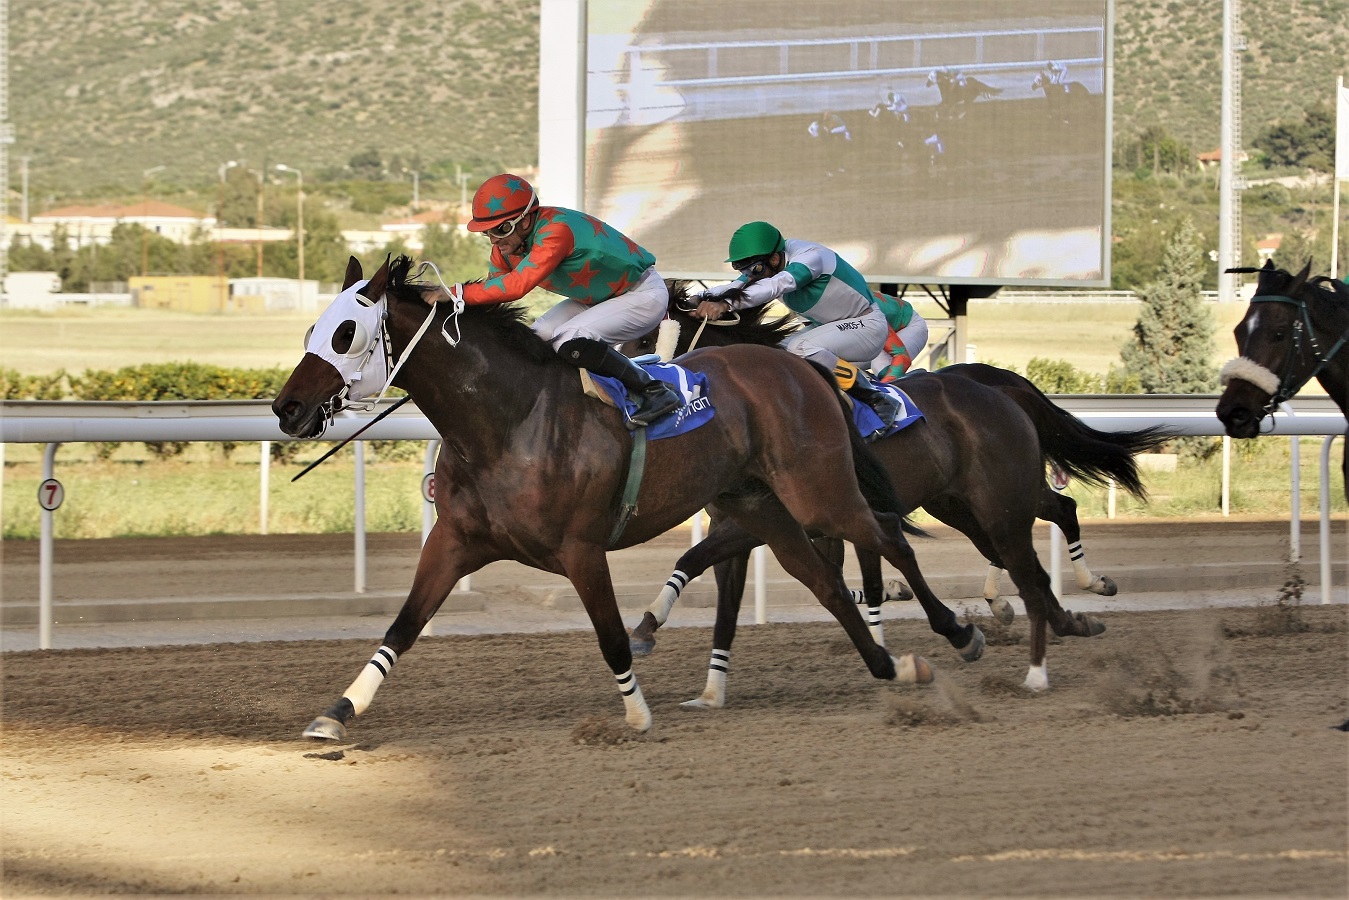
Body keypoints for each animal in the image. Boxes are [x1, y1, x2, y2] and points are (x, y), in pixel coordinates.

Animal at [268, 255, 982, 739]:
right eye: (312, 328)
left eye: (346, 334)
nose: (287, 408)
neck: (508, 421)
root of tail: (800, 365)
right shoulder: (457, 540)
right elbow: (402, 626)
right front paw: (337, 711)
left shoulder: (582, 549)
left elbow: (612, 637)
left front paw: (636, 713)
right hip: (761, 509)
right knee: (829, 585)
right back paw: (894, 668)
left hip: (816, 494)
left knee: (886, 538)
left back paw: (957, 634)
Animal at [620, 284, 1160, 696]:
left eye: (641, 335)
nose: (635, 394)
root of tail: (999, 384)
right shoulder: (752, 520)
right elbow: (701, 569)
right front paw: (669, 650)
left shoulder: (783, 518)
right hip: (954, 501)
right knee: (1015, 547)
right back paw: (1057, 614)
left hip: (997, 491)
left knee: (1056, 512)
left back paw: (1085, 591)